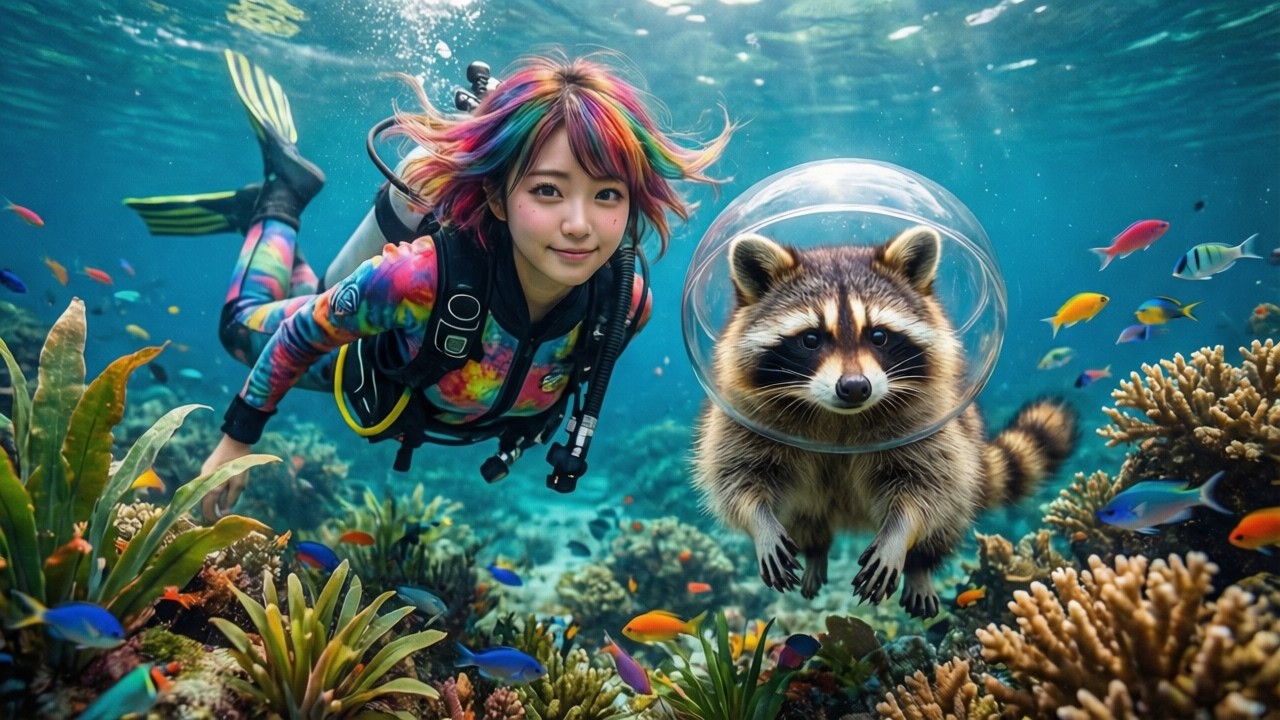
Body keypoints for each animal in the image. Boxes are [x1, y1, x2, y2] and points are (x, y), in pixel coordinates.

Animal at [691, 225, 1076, 618]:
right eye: (811, 339)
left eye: (878, 336)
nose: (854, 387)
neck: (838, 417)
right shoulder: (743, 418)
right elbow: (739, 479)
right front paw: (761, 523)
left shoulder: (929, 424)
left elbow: (927, 488)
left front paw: (900, 535)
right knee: (804, 518)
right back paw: (815, 550)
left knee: (949, 510)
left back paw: (920, 566)